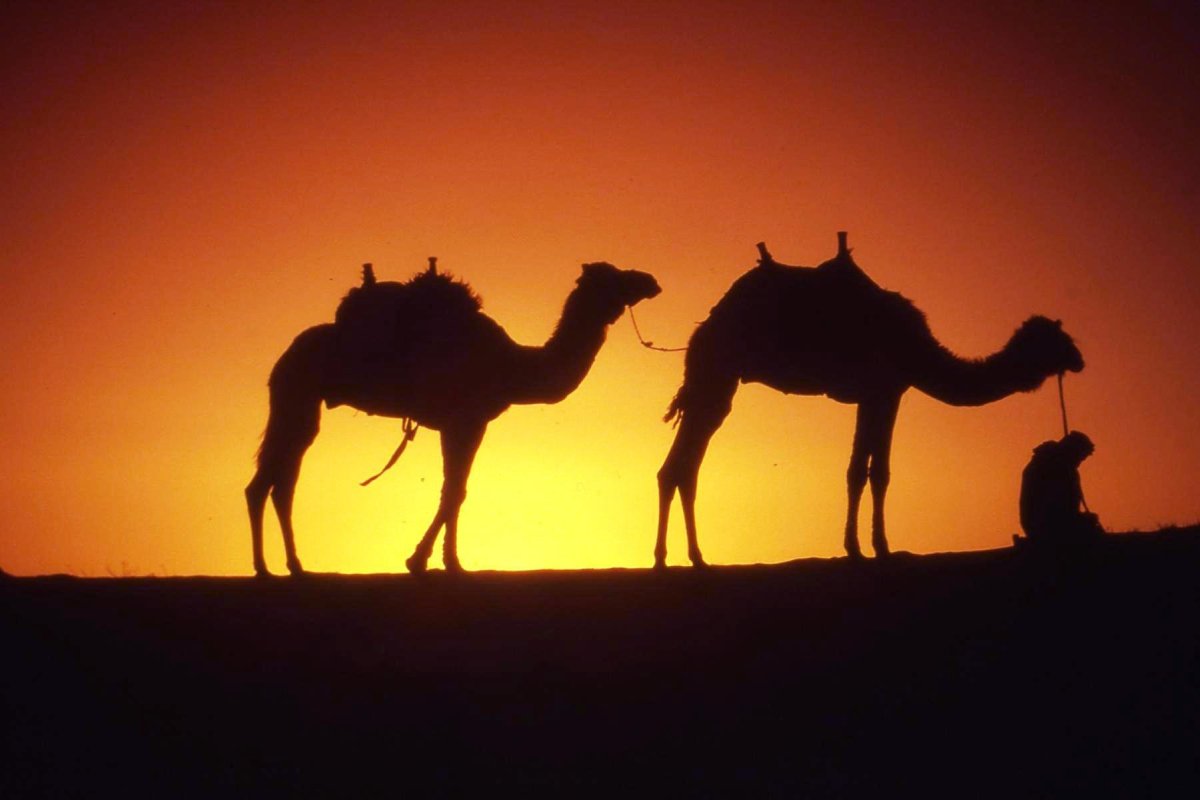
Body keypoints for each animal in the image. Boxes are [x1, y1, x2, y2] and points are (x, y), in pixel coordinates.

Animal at [246, 259, 661, 576]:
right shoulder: (465, 420)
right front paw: (422, 560)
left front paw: (449, 562)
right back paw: (269, 568)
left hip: (299, 399)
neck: (513, 366)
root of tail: (286, 354)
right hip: (297, 393)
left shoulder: (469, 423)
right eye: (613, 276)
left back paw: (290, 566)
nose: (650, 281)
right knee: (273, 479)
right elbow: (454, 491)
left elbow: (456, 490)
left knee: (278, 480)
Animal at [655, 233, 1084, 567]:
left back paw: (691, 557)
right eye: (1058, 340)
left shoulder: (878, 394)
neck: (917, 348)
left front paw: (862, 547)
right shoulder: (884, 390)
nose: (1080, 361)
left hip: (716, 381)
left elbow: (865, 471)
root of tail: (704, 328)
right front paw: (875, 548)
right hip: (717, 372)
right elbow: (872, 472)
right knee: (682, 463)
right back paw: (672, 559)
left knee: (681, 467)